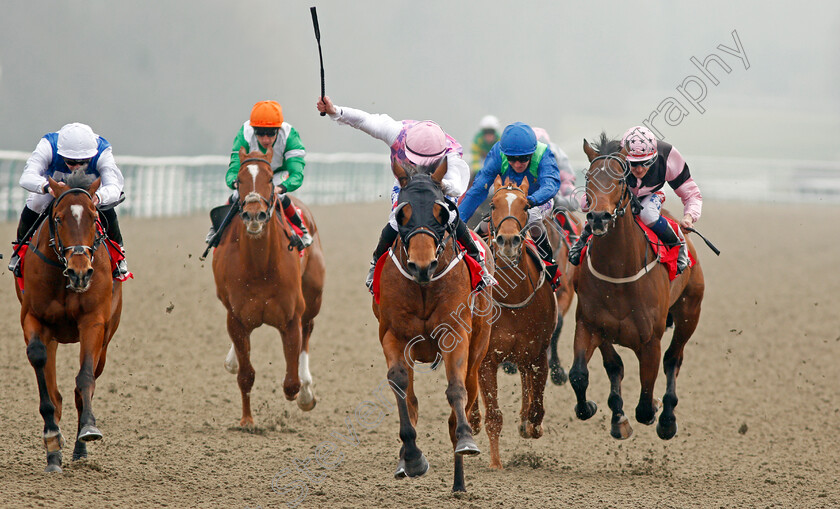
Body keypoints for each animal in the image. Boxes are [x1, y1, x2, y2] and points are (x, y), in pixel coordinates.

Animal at [14, 172, 124, 472]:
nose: (80, 272)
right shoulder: (34, 320)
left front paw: (88, 429)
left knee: (85, 383)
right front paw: (52, 439)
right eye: (59, 218)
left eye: (94, 216)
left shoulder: (93, 322)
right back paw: (54, 454)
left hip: (107, 339)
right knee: (54, 388)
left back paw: (79, 449)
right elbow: (41, 368)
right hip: (52, 336)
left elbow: (84, 378)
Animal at [213, 147, 324, 424]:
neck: (260, 268)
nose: (254, 215)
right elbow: (245, 375)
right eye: (238, 180)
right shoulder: (236, 318)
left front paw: (302, 393)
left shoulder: (291, 318)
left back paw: (307, 392)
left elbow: (291, 382)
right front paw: (247, 421)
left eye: (270, 179)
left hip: (313, 297)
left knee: (308, 329)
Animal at [372, 159, 492, 492]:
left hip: (478, 350)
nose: (422, 266)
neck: (424, 286)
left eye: (443, 212)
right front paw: (412, 457)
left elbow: (455, 389)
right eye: (402, 213)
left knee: (466, 393)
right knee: (411, 398)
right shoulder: (393, 335)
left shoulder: (455, 334)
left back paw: (459, 481)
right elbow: (400, 386)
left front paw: (466, 440)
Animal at [470, 176, 560, 468]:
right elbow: (494, 415)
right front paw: (496, 463)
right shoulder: (487, 360)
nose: (508, 240)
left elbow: (537, 405)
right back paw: (472, 419)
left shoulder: (538, 353)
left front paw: (531, 426)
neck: (512, 296)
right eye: (493, 204)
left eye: (525, 205)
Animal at [568, 133, 704, 438]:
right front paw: (603, 412)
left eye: (620, 180)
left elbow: (644, 401)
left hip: (690, 312)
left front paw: (654, 410)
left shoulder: (650, 340)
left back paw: (667, 418)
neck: (619, 272)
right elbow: (583, 374)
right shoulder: (590, 324)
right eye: (588, 178)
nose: (598, 218)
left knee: (673, 359)